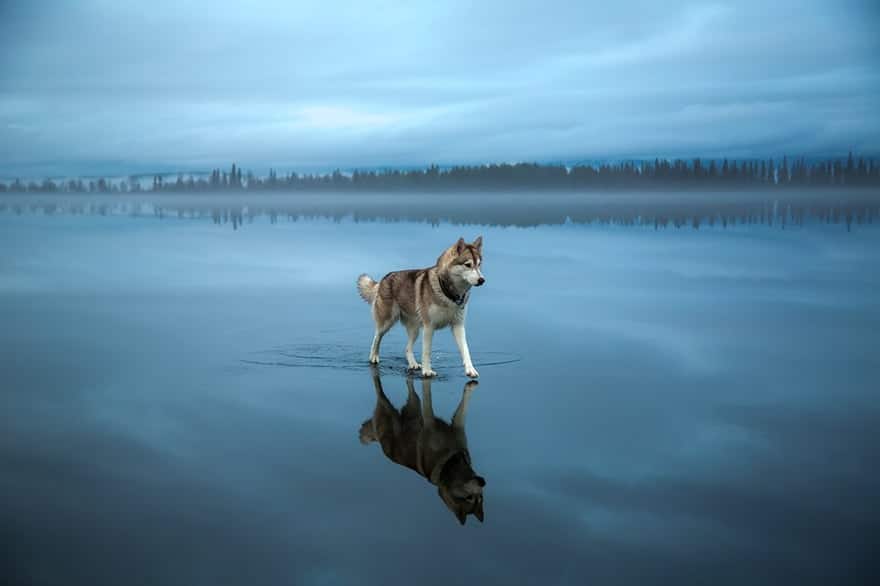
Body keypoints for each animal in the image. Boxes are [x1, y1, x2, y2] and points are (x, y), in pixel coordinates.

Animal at [354, 235, 484, 376]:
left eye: (479, 265)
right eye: (468, 265)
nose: (482, 280)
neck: (448, 293)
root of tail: (383, 279)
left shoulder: (458, 326)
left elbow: (466, 350)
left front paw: (470, 370)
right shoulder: (429, 327)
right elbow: (427, 352)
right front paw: (427, 371)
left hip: (415, 329)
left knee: (407, 348)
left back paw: (413, 364)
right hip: (387, 323)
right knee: (376, 337)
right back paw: (373, 357)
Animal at [360, 368, 488, 524]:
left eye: (481, 498)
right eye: (469, 498)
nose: (483, 482)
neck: (451, 462)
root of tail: (379, 442)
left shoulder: (458, 428)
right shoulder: (429, 421)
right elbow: (428, 400)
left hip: (413, 404)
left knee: (411, 389)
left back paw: (413, 366)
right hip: (386, 406)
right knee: (379, 390)